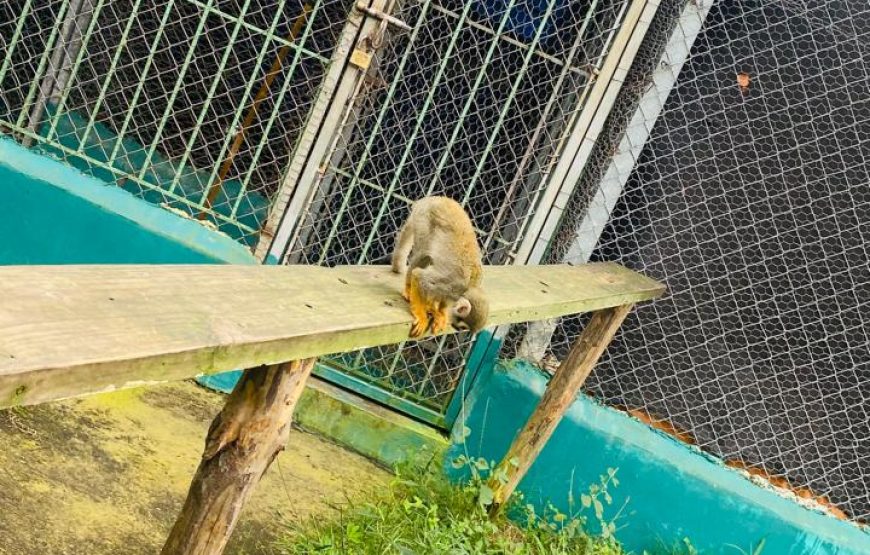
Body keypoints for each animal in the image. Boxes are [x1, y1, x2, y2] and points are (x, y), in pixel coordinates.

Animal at [390, 196, 489, 338]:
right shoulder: (451, 284)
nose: (460, 332)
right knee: (423, 254)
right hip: (424, 219)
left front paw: (440, 311)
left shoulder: (450, 291)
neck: (468, 288)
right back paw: (408, 288)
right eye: (463, 327)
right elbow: (419, 276)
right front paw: (422, 315)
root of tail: (432, 199)